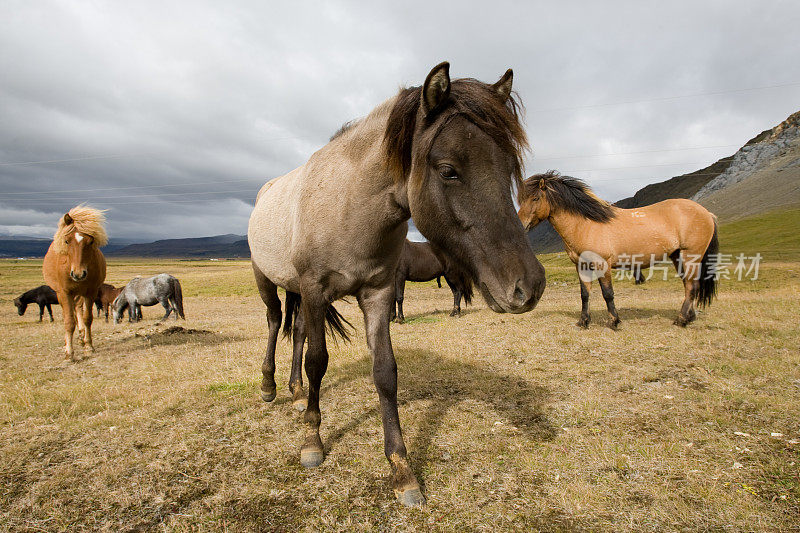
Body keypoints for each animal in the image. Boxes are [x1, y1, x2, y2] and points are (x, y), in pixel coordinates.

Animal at [42, 206, 108, 360]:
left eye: (90, 242)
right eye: (67, 241)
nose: (78, 274)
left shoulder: (90, 292)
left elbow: (87, 318)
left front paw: (88, 346)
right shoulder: (65, 293)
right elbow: (69, 322)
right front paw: (69, 353)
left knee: (78, 309)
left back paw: (81, 337)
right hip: (62, 294)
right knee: (69, 313)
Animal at [248, 61, 544, 502]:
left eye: (509, 169)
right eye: (449, 171)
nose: (529, 285)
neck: (349, 205)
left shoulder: (378, 293)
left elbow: (385, 372)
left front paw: (401, 468)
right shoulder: (316, 289)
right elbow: (318, 360)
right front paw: (312, 441)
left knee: (297, 331)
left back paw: (296, 392)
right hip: (267, 279)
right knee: (273, 322)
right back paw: (270, 386)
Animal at [520, 170, 720, 328]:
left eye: (536, 198)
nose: (521, 225)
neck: (586, 224)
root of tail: (707, 213)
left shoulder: (602, 264)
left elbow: (607, 294)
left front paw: (614, 321)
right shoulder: (581, 265)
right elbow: (585, 294)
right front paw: (583, 321)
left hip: (690, 255)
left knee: (692, 286)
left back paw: (681, 320)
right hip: (677, 256)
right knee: (689, 284)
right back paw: (689, 317)